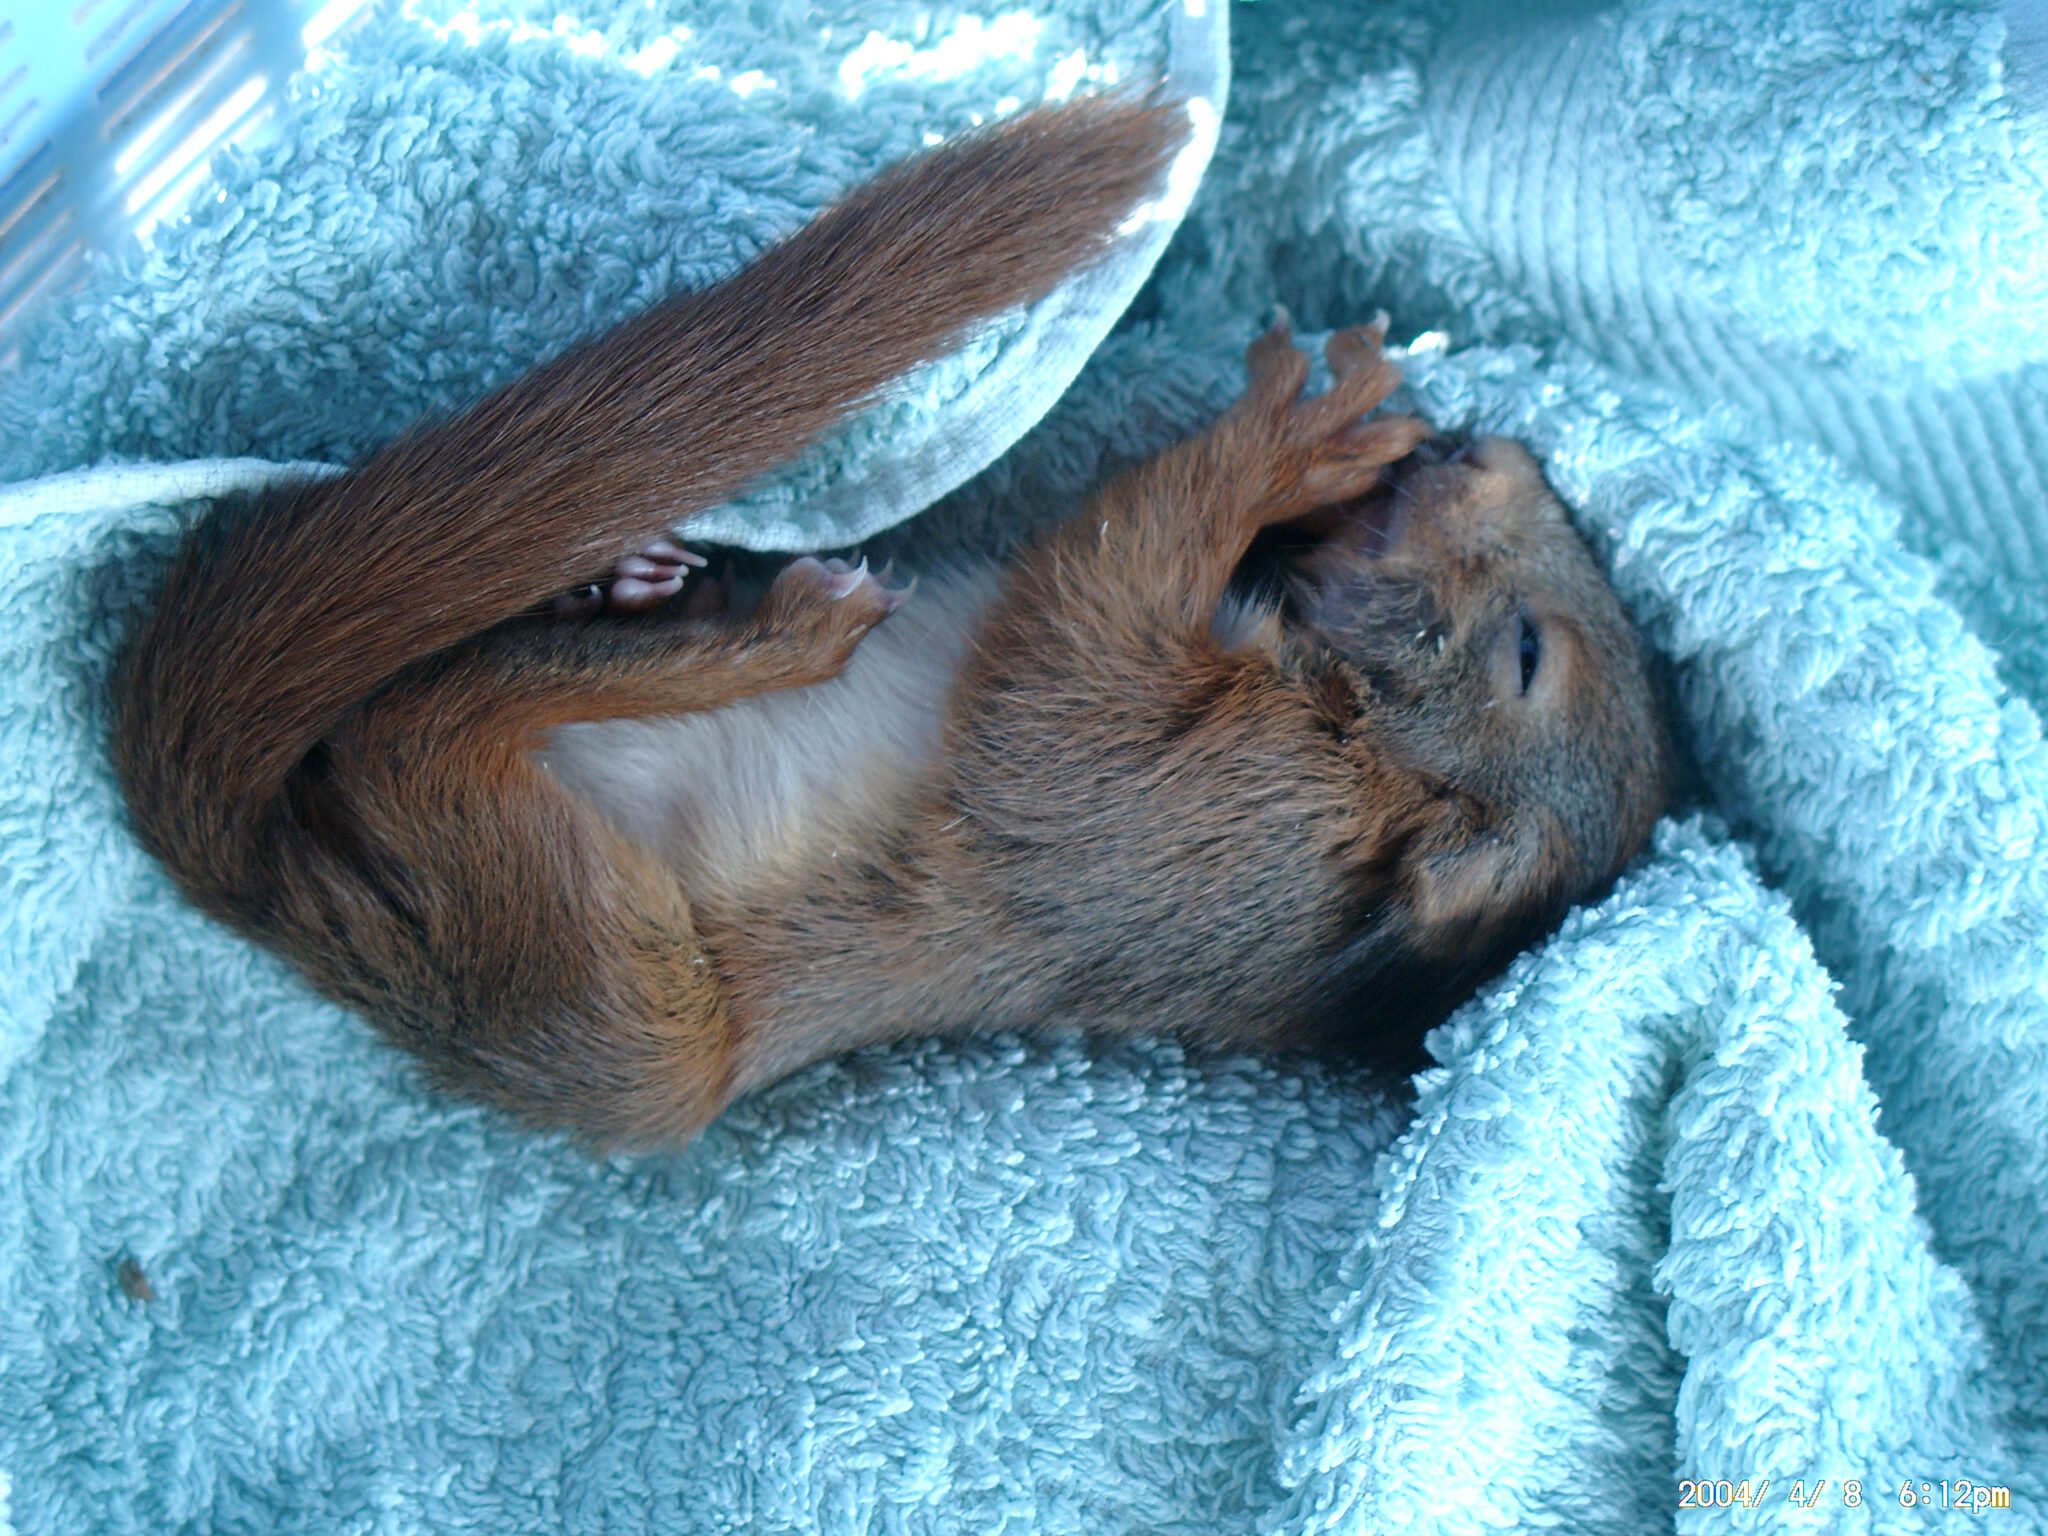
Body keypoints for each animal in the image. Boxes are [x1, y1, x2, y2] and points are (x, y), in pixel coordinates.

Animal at [112, 99, 1671, 1147]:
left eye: (1526, 655)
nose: (1493, 451)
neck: (1362, 752)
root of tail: (306, 914)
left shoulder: (1208, 819)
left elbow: (1071, 654)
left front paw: (1282, 441)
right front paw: (1328, 437)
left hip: (621, 992)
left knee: (419, 735)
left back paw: (757, 636)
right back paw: (641, 586)